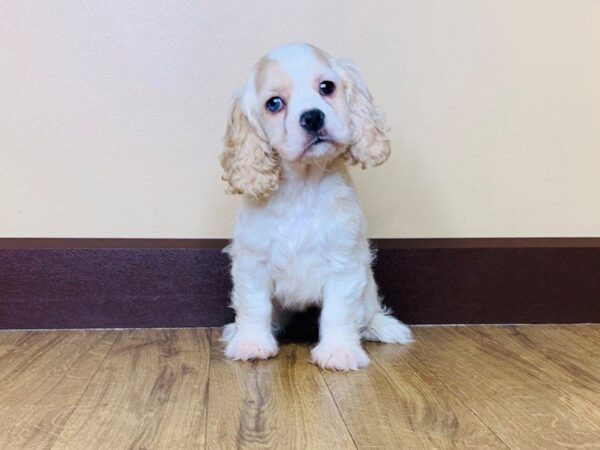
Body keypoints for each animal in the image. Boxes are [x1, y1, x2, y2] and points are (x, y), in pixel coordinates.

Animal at [220, 44, 412, 370]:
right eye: (274, 103)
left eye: (326, 87)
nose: (312, 117)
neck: (303, 186)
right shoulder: (253, 263)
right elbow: (254, 306)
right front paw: (251, 342)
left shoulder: (345, 264)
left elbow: (339, 312)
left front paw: (339, 351)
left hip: (368, 291)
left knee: (366, 315)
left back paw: (381, 326)